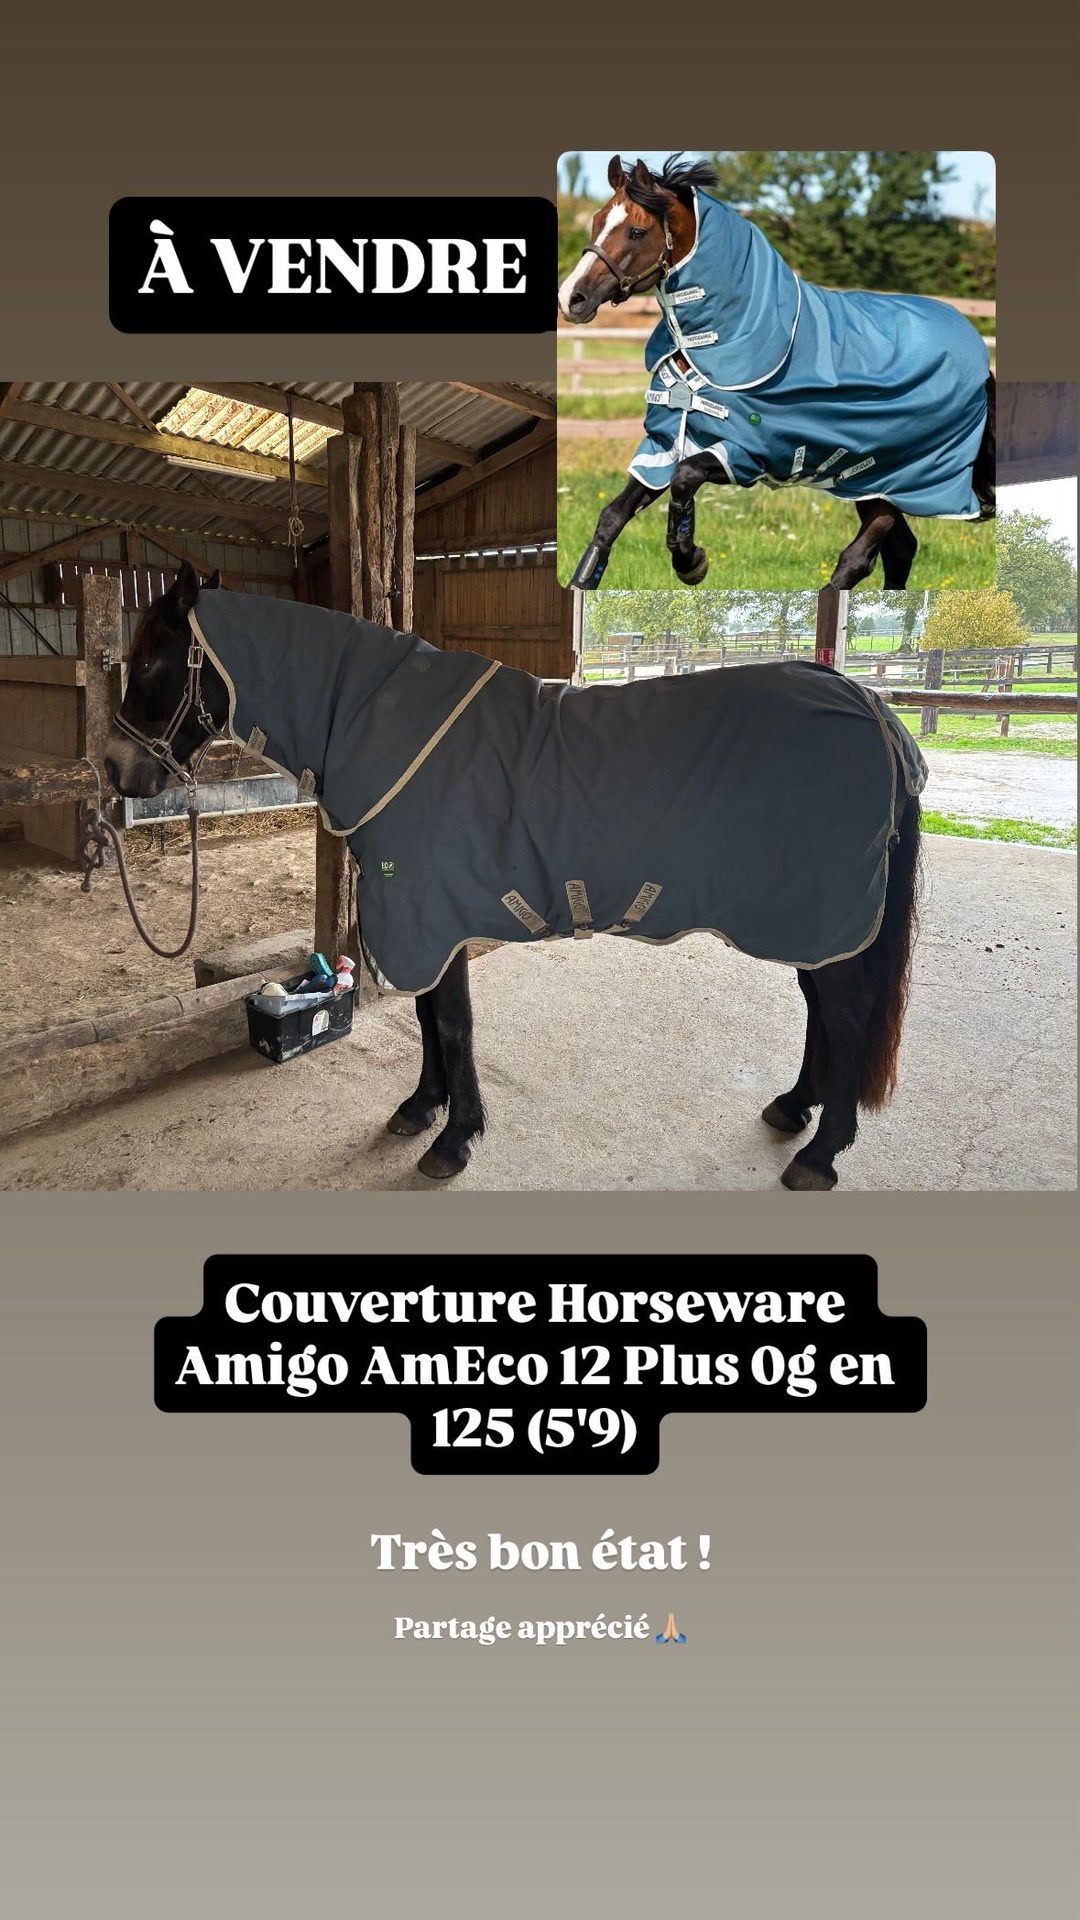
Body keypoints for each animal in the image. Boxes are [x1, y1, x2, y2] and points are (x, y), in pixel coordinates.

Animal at [103, 563, 925, 1192]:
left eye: (148, 663)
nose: (115, 772)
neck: (386, 724)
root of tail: (876, 713)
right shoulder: (426, 922)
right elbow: (430, 1021)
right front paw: (421, 1109)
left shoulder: (433, 918)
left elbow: (453, 1025)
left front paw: (454, 1138)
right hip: (812, 926)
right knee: (823, 1012)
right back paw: (793, 1108)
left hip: (823, 920)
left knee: (847, 1017)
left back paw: (821, 1155)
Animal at [558, 155, 996, 594]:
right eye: (597, 221)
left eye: (636, 231)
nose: (571, 298)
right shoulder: (665, 444)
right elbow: (612, 516)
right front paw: (584, 582)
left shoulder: (748, 453)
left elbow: (684, 479)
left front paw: (690, 561)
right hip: (870, 483)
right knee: (899, 550)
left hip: (896, 478)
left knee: (858, 559)